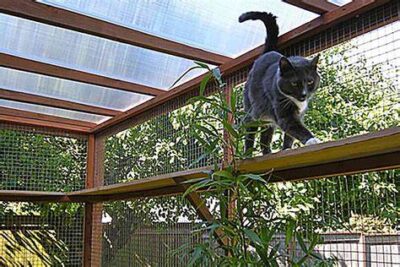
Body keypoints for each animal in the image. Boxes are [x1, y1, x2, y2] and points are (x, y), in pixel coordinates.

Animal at [239, 11, 320, 156]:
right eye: (294, 83)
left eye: (310, 81)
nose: (304, 95)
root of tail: (266, 53)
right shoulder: (283, 112)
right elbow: (294, 127)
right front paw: (312, 140)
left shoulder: (299, 114)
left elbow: (290, 135)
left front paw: (287, 148)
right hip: (252, 108)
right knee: (250, 129)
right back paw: (248, 154)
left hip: (267, 117)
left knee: (265, 135)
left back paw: (267, 152)